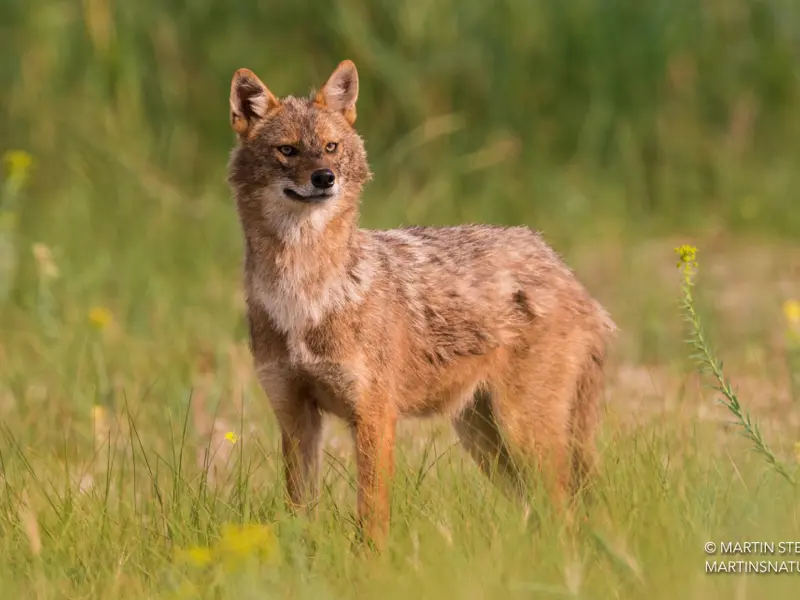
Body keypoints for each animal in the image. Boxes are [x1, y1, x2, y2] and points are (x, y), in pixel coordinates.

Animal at [227, 59, 616, 548]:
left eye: (331, 148)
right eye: (288, 150)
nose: (325, 178)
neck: (303, 296)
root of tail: (565, 271)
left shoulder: (374, 415)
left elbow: (370, 518)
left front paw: (371, 565)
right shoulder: (296, 416)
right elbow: (300, 516)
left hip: (524, 433)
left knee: (565, 515)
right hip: (486, 441)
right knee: (543, 514)